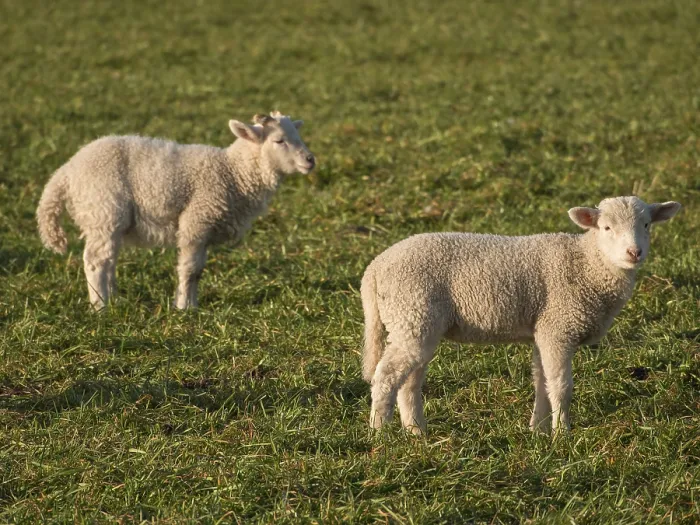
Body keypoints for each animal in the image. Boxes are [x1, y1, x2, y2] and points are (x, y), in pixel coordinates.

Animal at [36, 112, 315, 310]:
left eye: (298, 137)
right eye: (279, 141)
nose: (310, 160)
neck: (234, 173)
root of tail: (67, 172)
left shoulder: (204, 229)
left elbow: (198, 270)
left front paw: (192, 305)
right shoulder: (197, 220)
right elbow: (189, 270)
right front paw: (185, 309)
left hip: (106, 219)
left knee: (108, 260)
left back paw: (113, 299)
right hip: (104, 210)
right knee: (95, 262)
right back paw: (100, 307)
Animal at [361, 196, 681, 436]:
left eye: (647, 224)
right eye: (606, 227)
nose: (634, 252)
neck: (587, 263)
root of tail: (374, 269)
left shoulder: (544, 329)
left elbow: (542, 382)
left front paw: (538, 429)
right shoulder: (559, 327)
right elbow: (561, 387)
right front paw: (562, 435)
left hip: (417, 323)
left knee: (409, 381)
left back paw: (417, 432)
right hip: (411, 312)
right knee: (386, 376)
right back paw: (380, 432)